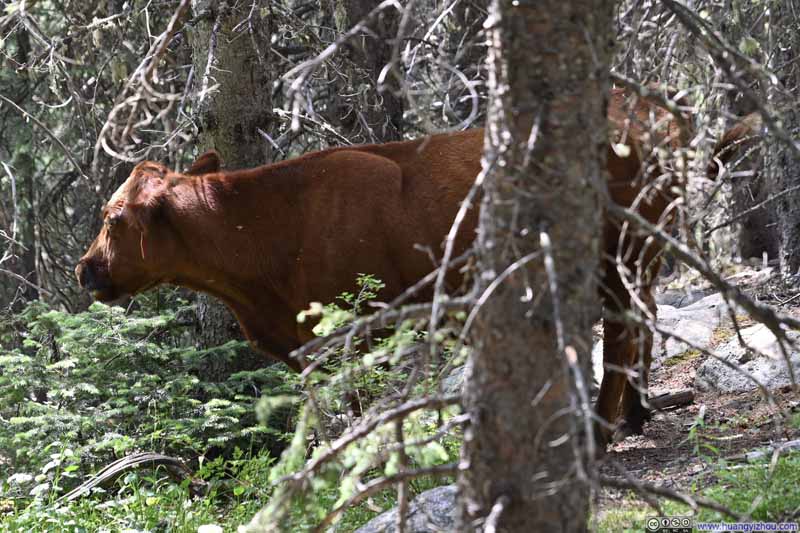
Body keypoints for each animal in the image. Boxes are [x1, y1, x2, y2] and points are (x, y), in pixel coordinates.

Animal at [76, 87, 758, 445]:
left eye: (112, 217)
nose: (84, 270)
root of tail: (653, 107)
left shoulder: (349, 333)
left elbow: (350, 420)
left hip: (618, 255)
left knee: (619, 333)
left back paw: (600, 428)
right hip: (642, 256)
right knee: (639, 323)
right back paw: (637, 414)